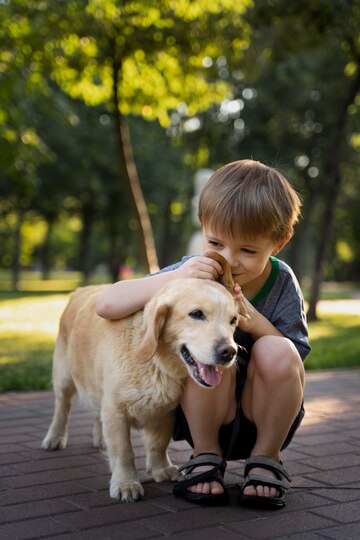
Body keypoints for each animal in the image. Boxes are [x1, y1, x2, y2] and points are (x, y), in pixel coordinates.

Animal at [42, 253, 238, 502]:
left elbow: (158, 444)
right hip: (64, 377)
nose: (230, 352)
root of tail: (80, 290)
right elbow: (124, 451)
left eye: (233, 321)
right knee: (62, 407)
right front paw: (126, 483)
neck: (157, 364)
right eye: (196, 314)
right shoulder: (115, 409)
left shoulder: (166, 411)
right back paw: (55, 437)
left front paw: (161, 468)